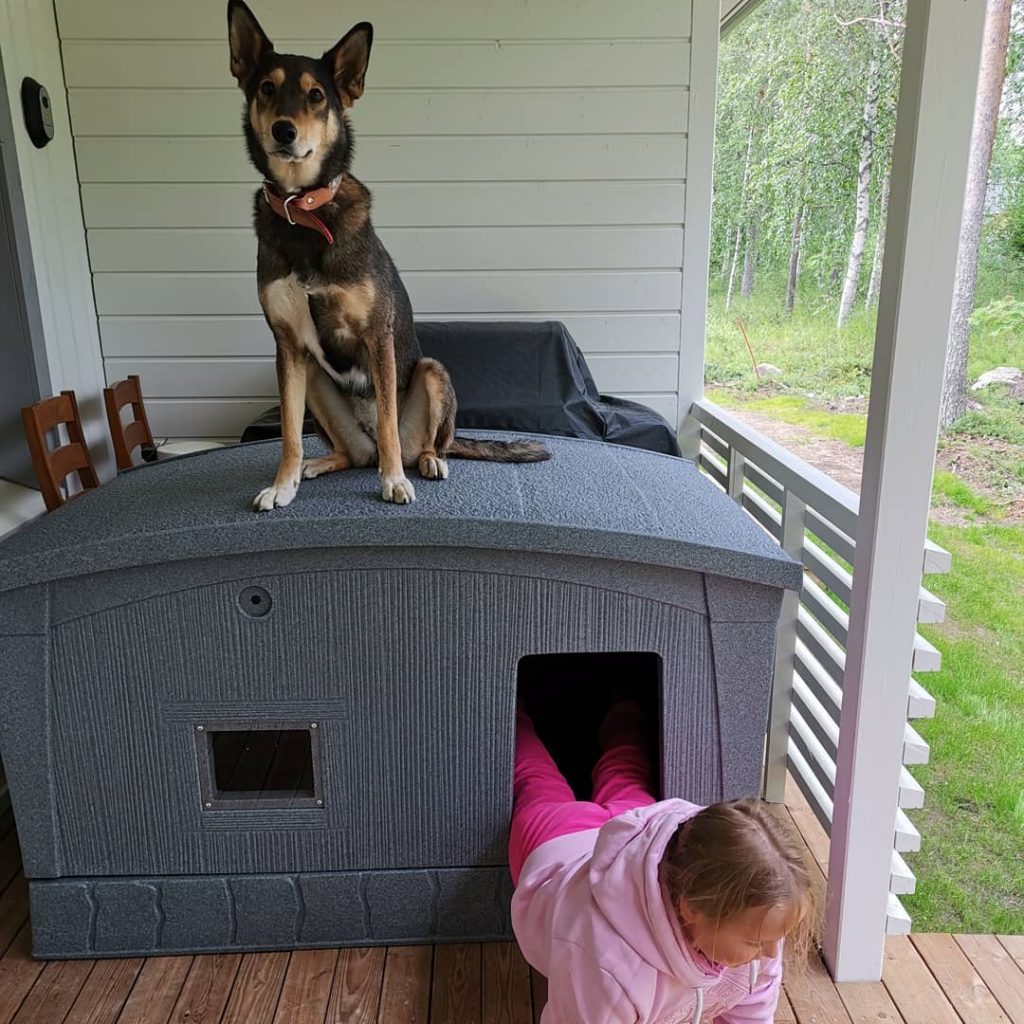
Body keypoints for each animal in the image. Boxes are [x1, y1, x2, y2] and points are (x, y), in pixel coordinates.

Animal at [228, 2, 552, 507]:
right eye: (266, 88)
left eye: (316, 95)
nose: (284, 131)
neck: (303, 210)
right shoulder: (288, 346)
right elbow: (289, 433)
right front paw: (283, 485)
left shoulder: (377, 335)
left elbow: (386, 421)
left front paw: (394, 480)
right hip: (317, 382)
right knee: (355, 452)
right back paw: (321, 463)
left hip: (433, 373)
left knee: (417, 441)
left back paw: (427, 461)